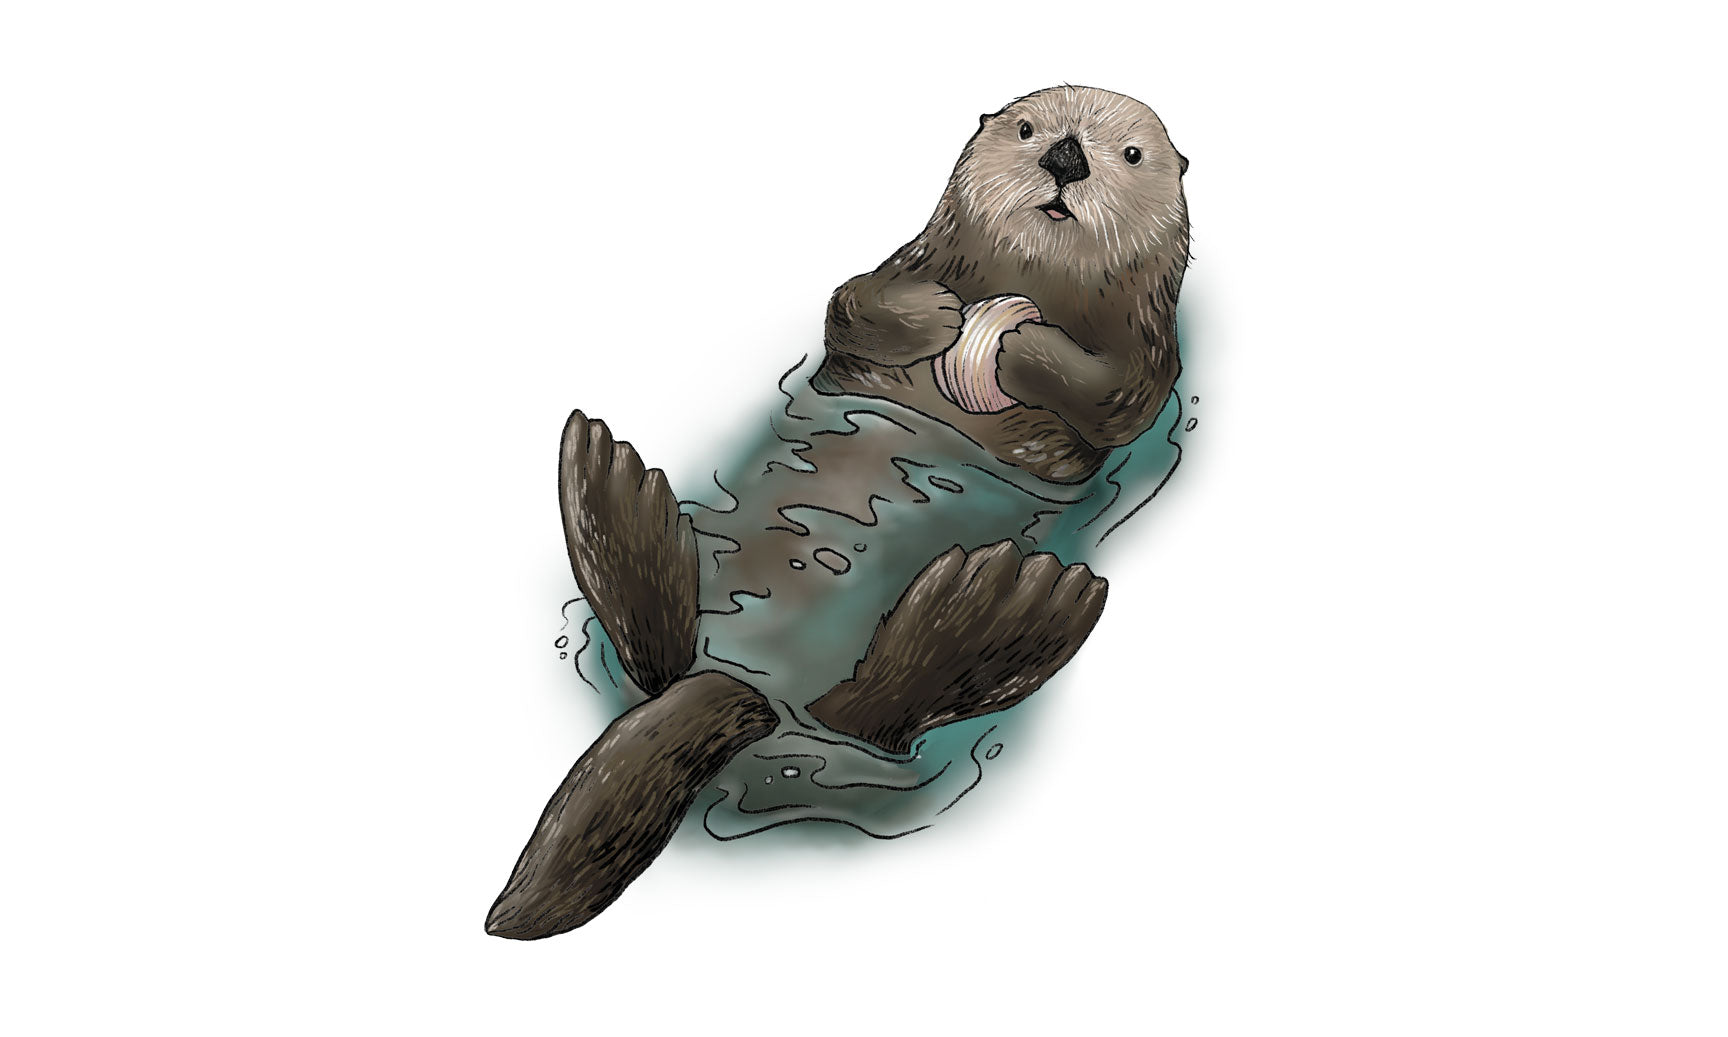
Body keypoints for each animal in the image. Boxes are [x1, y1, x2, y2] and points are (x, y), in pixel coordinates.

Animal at [485, 86, 1190, 940]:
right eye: (1028, 128)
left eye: (1132, 154)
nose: (1066, 156)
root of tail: (743, 687)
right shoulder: (896, 265)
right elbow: (850, 303)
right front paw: (938, 314)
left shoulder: (1148, 358)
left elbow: (1109, 395)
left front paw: (1015, 344)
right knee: (665, 665)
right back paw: (601, 480)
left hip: (857, 712)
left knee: (870, 718)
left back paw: (1004, 607)